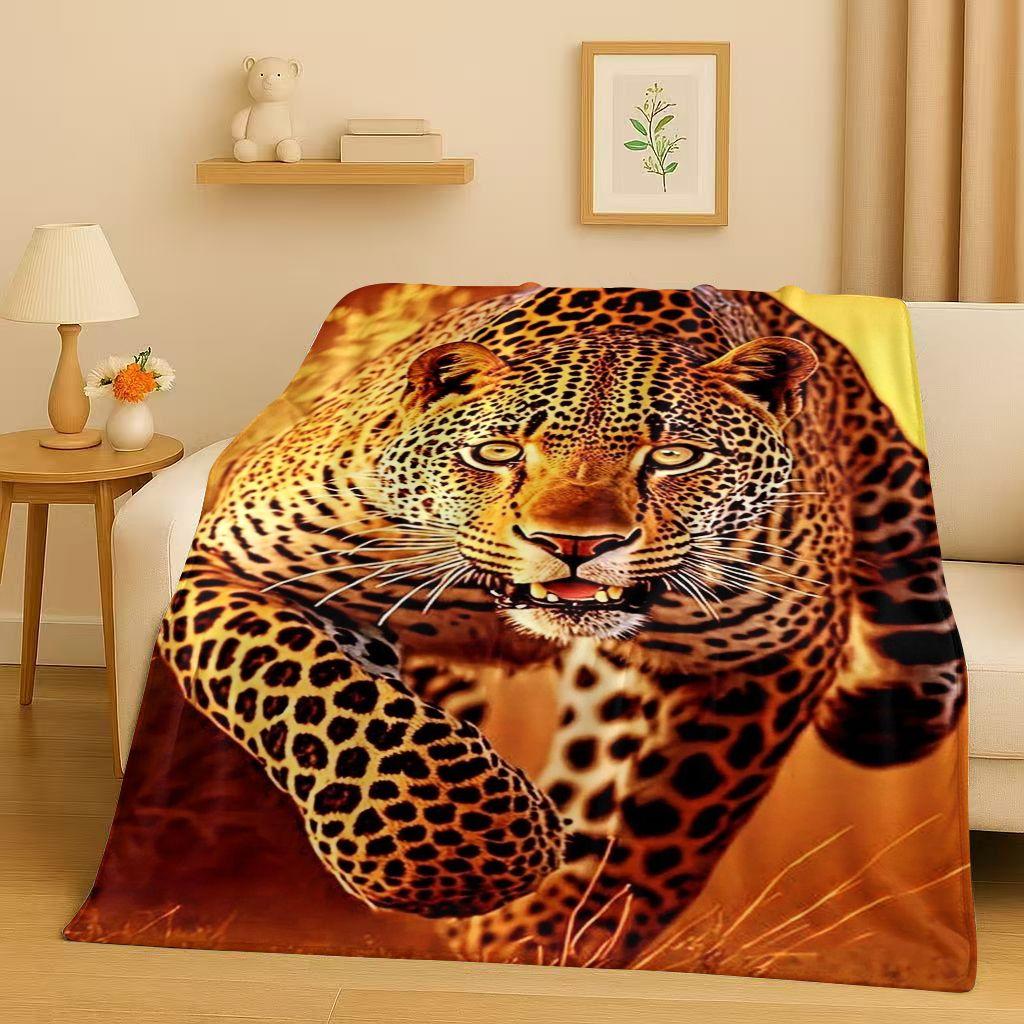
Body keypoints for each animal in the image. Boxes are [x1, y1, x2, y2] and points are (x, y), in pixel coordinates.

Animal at [155, 283, 965, 967]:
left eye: (675, 456)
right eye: (499, 451)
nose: (573, 544)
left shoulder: (772, 652)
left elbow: (665, 828)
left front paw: (539, 936)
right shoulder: (237, 562)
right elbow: (318, 690)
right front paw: (462, 859)